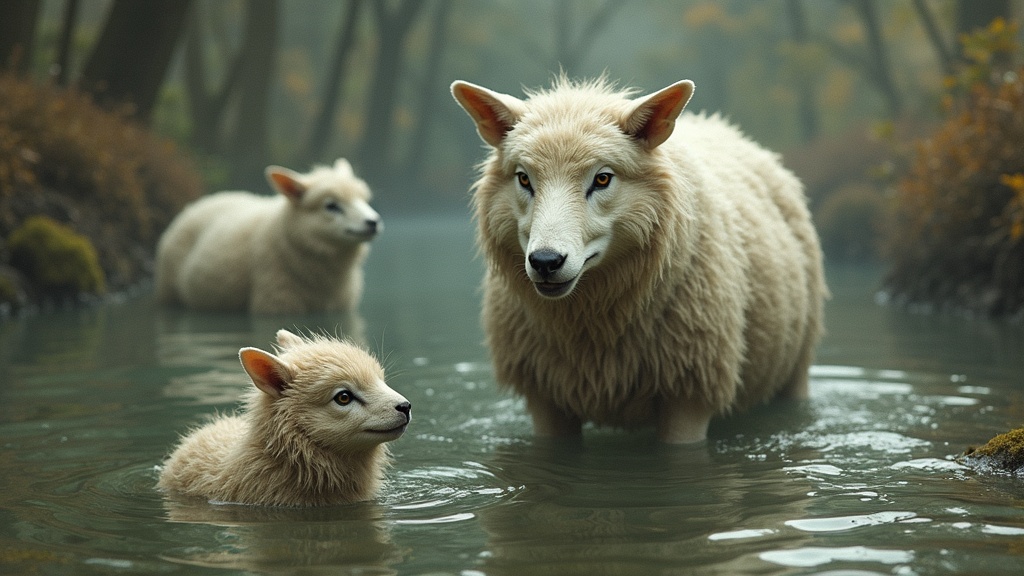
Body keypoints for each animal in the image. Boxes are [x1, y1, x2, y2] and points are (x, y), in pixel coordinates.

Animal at [451, 76, 826, 443]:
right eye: (524, 178)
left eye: (603, 178)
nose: (546, 261)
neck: (590, 328)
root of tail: (717, 124)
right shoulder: (547, 401)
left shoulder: (689, 396)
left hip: (797, 367)